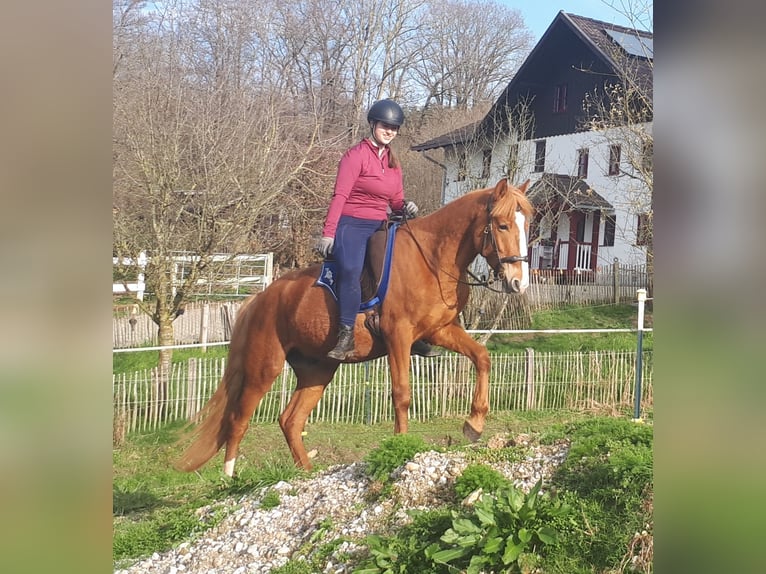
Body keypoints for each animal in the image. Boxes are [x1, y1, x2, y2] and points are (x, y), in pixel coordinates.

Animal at [174, 179, 536, 476]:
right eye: (502, 225)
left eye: (527, 225)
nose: (519, 282)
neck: (432, 259)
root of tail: (260, 298)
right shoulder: (398, 336)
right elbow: (402, 394)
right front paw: (401, 445)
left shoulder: (439, 331)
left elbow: (482, 358)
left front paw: (474, 423)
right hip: (263, 368)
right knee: (238, 421)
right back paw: (229, 478)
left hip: (318, 370)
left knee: (290, 420)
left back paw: (307, 472)